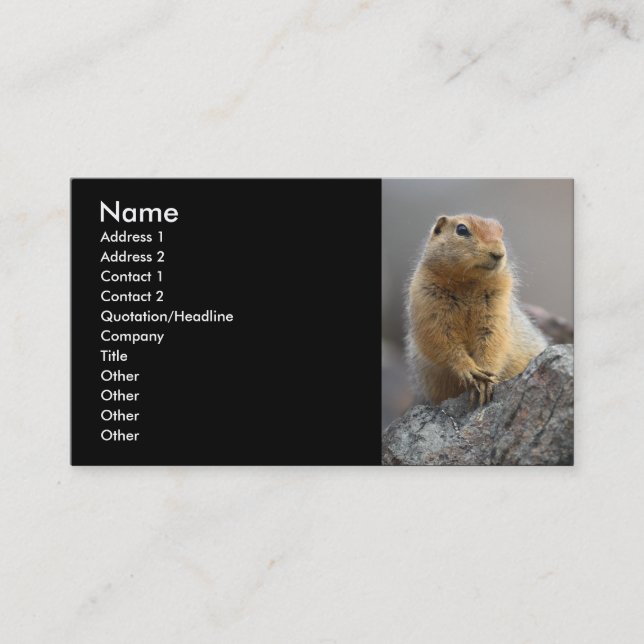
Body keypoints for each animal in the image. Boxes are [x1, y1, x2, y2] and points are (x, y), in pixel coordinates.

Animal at [406, 214, 547, 406]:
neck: (468, 283)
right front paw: (469, 369)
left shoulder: (497, 303)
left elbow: (493, 338)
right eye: (462, 229)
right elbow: (441, 338)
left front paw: (486, 381)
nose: (498, 253)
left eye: (501, 232)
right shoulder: (427, 300)